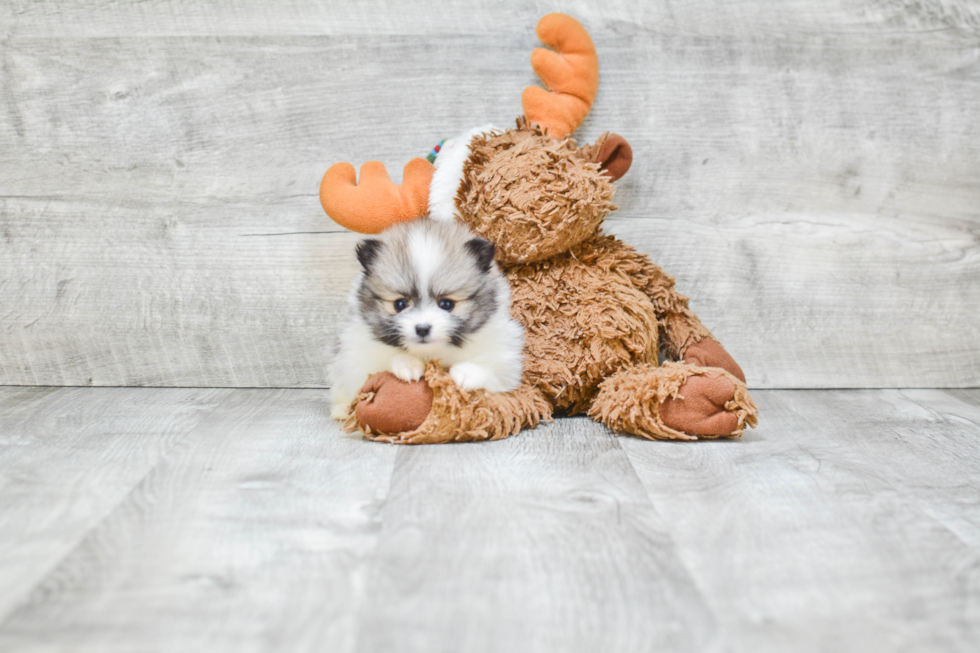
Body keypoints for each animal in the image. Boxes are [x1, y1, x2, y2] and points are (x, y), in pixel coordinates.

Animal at [330, 216, 524, 420]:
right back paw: (342, 409)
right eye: (400, 304)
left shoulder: (504, 359)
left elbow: (492, 372)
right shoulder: (357, 356)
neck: (430, 353)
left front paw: (467, 373)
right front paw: (406, 363)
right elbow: (381, 360)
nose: (422, 328)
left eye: (446, 304)